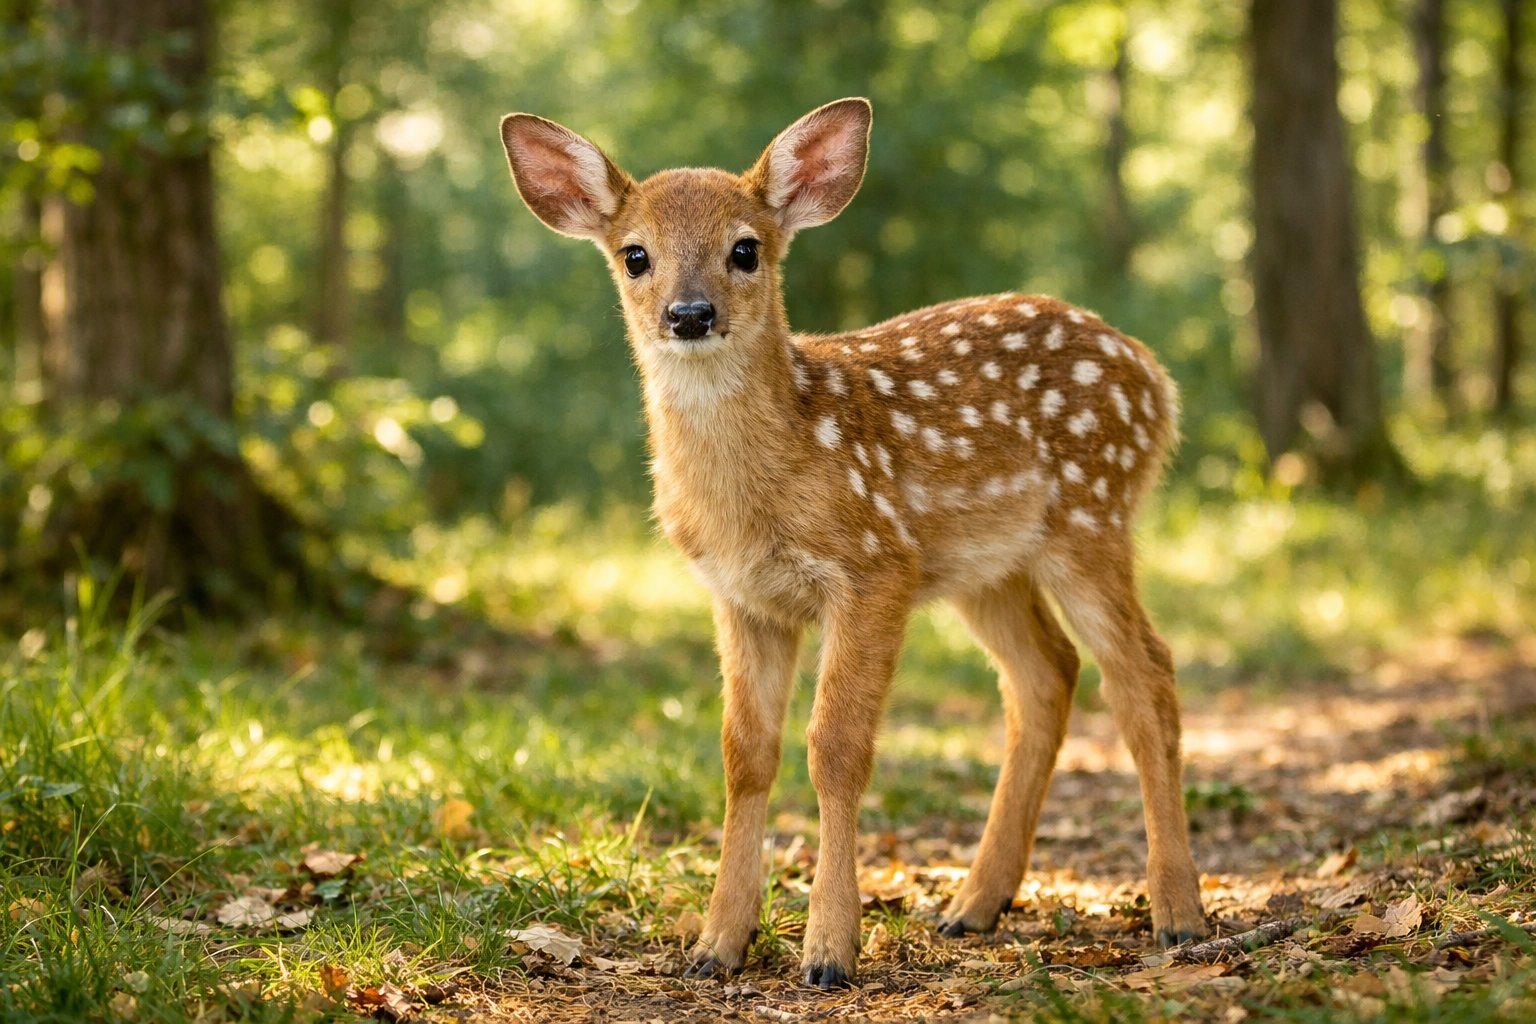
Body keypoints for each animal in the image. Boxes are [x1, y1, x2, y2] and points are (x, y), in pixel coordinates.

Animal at [498, 97, 1208, 990]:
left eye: (746, 249)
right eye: (635, 255)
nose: (689, 315)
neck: (760, 490)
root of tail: (1155, 376)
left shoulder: (873, 566)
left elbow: (835, 747)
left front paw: (831, 950)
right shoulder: (741, 596)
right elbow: (744, 753)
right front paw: (717, 944)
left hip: (1092, 516)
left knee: (1145, 672)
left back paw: (1178, 912)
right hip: (986, 566)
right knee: (1046, 674)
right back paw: (973, 906)